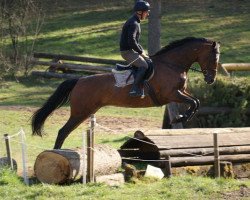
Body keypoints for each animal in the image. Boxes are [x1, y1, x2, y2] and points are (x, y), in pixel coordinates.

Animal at [31, 37, 221, 148]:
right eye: (214, 57)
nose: (211, 79)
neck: (172, 64)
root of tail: (79, 80)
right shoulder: (171, 94)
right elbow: (194, 102)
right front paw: (180, 118)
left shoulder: (180, 92)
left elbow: (196, 102)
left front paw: (181, 117)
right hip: (80, 112)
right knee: (63, 131)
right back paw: (57, 154)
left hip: (87, 111)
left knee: (64, 131)